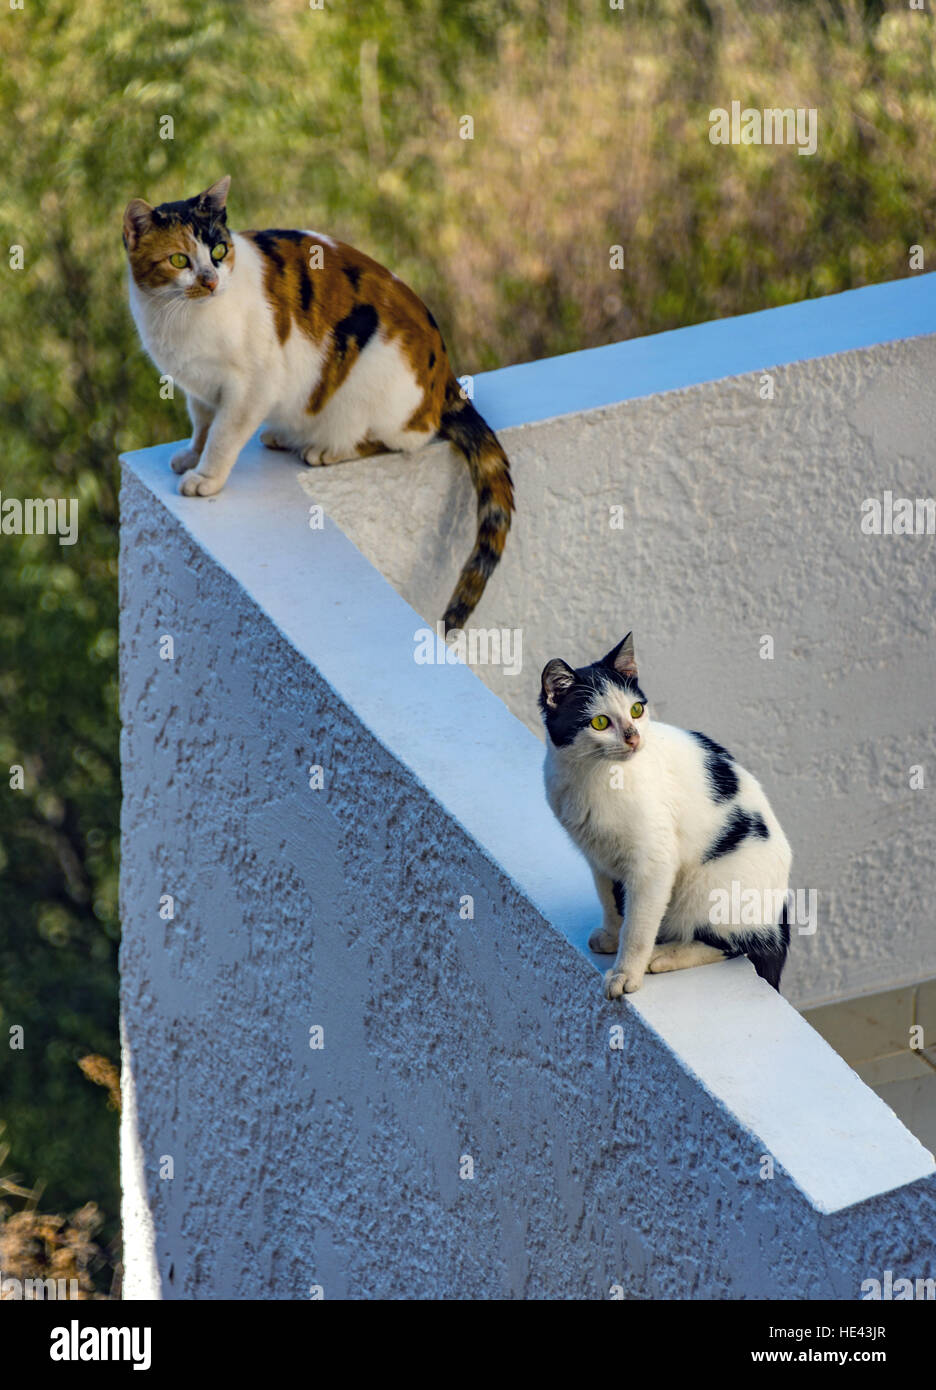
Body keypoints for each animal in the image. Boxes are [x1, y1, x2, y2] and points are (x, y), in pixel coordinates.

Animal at [121, 175, 514, 631]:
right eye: (179, 260)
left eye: (218, 252)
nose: (210, 280)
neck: (181, 318)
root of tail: (445, 381)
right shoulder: (198, 388)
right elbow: (202, 424)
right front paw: (191, 455)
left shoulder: (252, 386)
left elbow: (222, 435)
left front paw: (206, 477)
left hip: (373, 379)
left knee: (406, 437)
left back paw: (323, 448)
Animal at [536, 636, 789, 1006]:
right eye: (600, 723)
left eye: (636, 711)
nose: (633, 737)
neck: (594, 777)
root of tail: (780, 909)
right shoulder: (599, 859)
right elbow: (611, 902)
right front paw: (611, 936)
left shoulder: (653, 863)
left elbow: (638, 926)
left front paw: (626, 974)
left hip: (708, 888)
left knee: (737, 943)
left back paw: (665, 955)